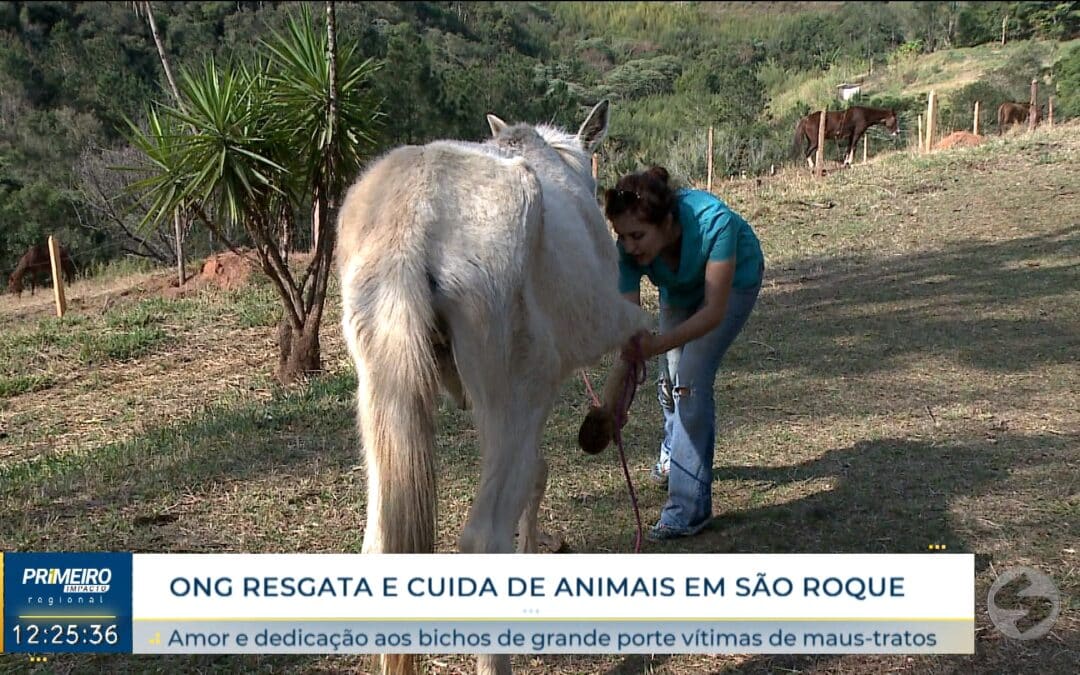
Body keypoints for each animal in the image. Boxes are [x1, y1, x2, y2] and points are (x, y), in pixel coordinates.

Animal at [334, 99, 648, 673]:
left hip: (379, 393)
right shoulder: (601, 326)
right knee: (484, 536)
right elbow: (643, 340)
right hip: (517, 390)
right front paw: (603, 423)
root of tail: (413, 221)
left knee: (379, 544)